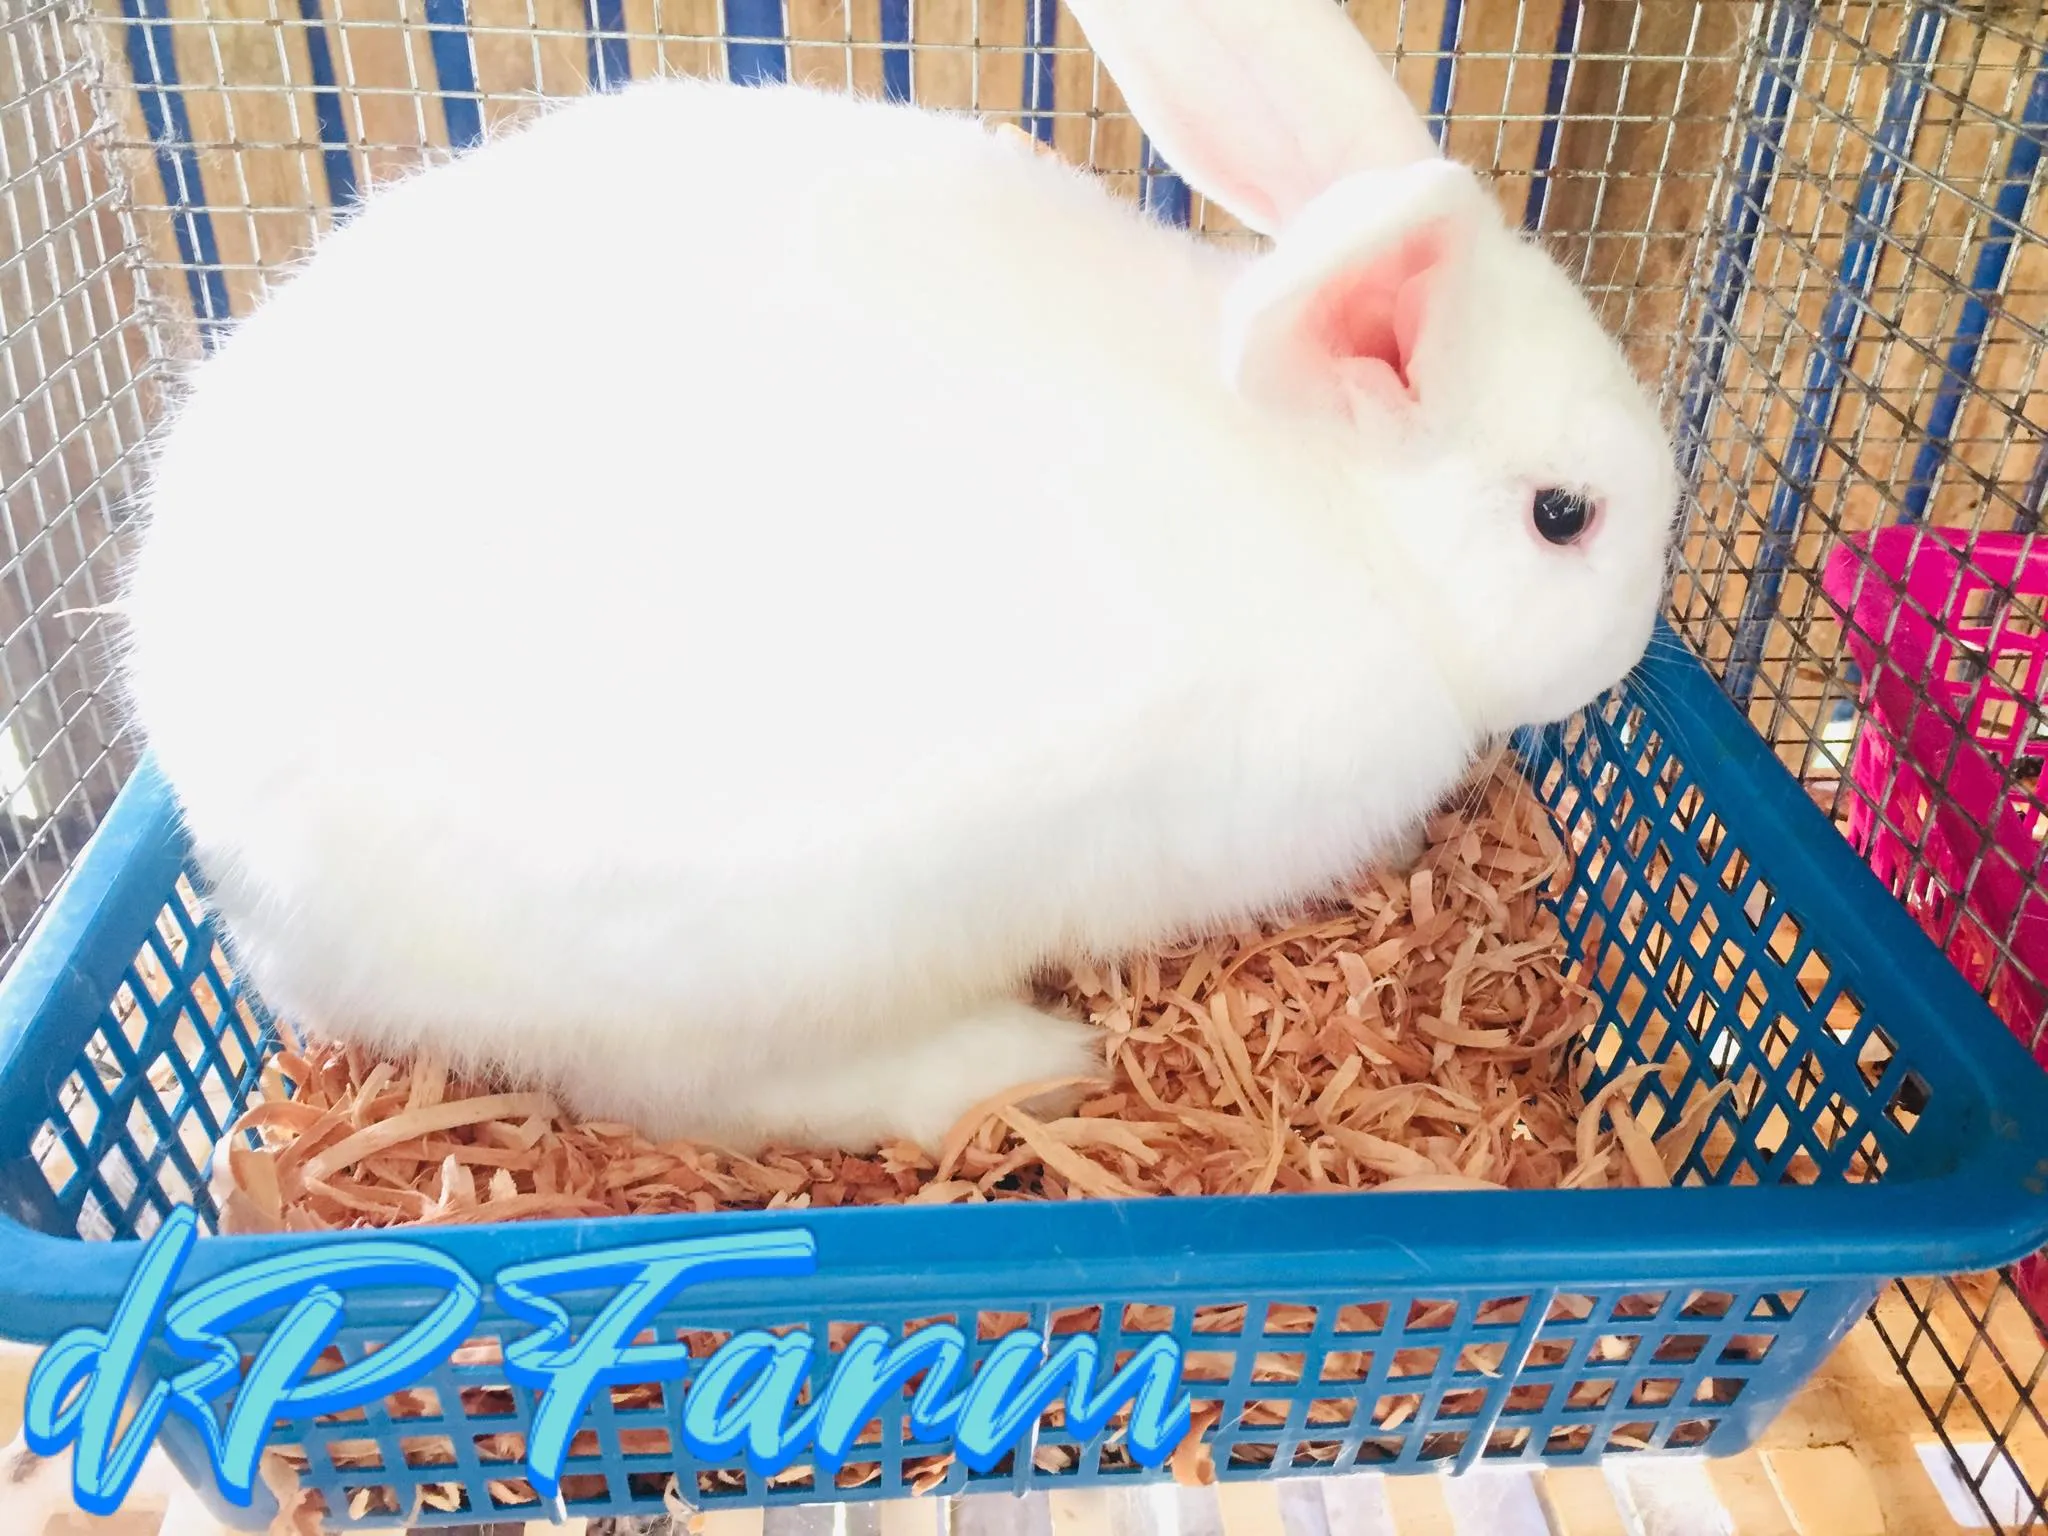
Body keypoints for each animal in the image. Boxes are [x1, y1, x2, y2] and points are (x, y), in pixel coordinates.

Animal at [116, 0, 1679, 1155]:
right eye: (1562, 517)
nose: (1631, 650)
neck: (1340, 511)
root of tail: (267, 914)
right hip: (765, 956)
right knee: (715, 1096)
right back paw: (1019, 1066)